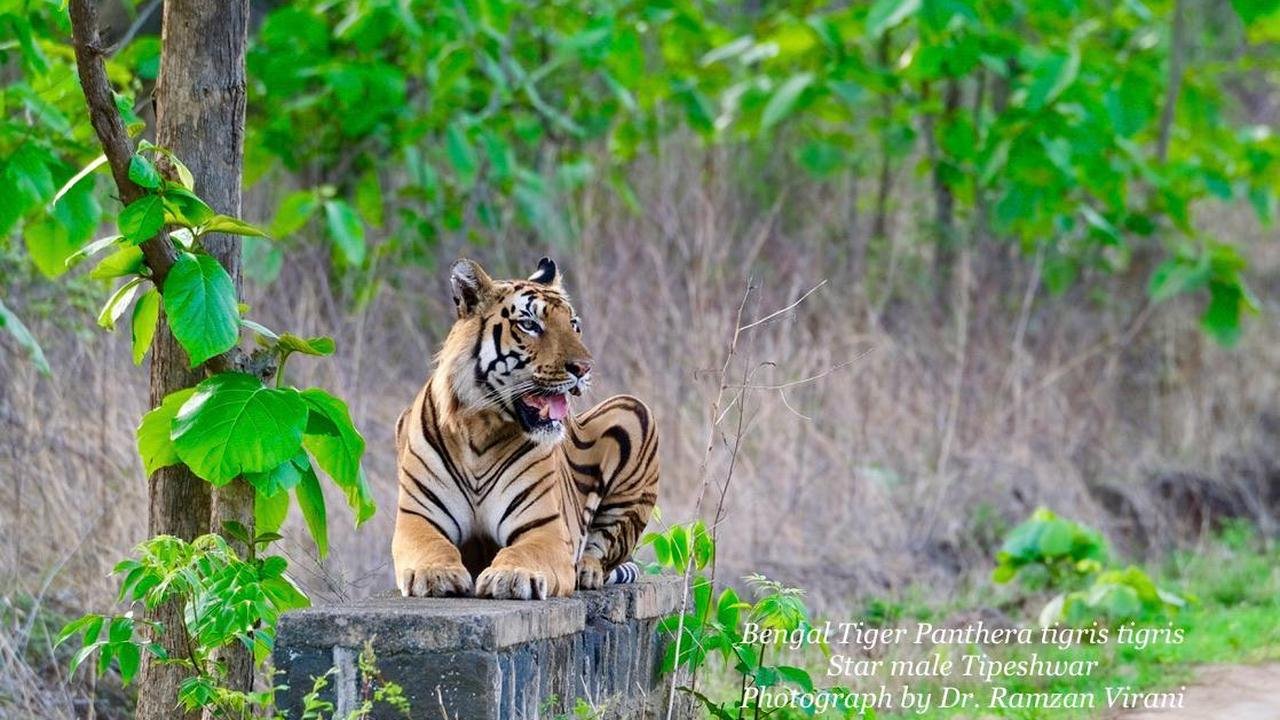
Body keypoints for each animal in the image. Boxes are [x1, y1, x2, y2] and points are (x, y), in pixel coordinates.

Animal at [391, 254, 660, 597]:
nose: (584, 368)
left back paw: (587, 571)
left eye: (575, 326)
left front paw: (512, 576)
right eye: (530, 325)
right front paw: (436, 573)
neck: (480, 430)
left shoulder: (543, 528)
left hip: (635, 410)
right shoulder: (418, 520)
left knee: (604, 549)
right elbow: (431, 546)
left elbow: (524, 552)